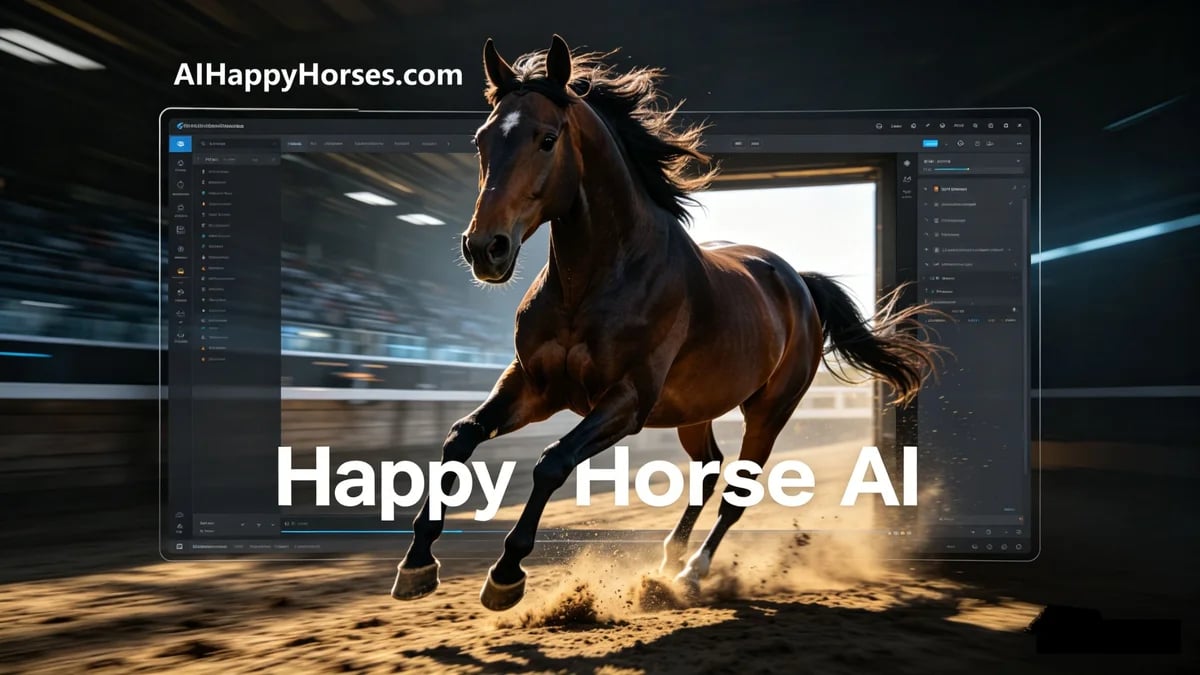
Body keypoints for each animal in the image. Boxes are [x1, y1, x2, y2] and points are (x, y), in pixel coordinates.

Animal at [392, 35, 943, 611]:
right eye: (481, 140)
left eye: (547, 139)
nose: (485, 249)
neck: (596, 281)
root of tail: (799, 283)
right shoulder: (534, 385)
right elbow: (460, 437)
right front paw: (417, 564)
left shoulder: (626, 401)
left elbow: (551, 462)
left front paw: (506, 574)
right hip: (693, 411)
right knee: (708, 468)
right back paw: (667, 561)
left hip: (769, 411)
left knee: (737, 491)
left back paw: (692, 573)